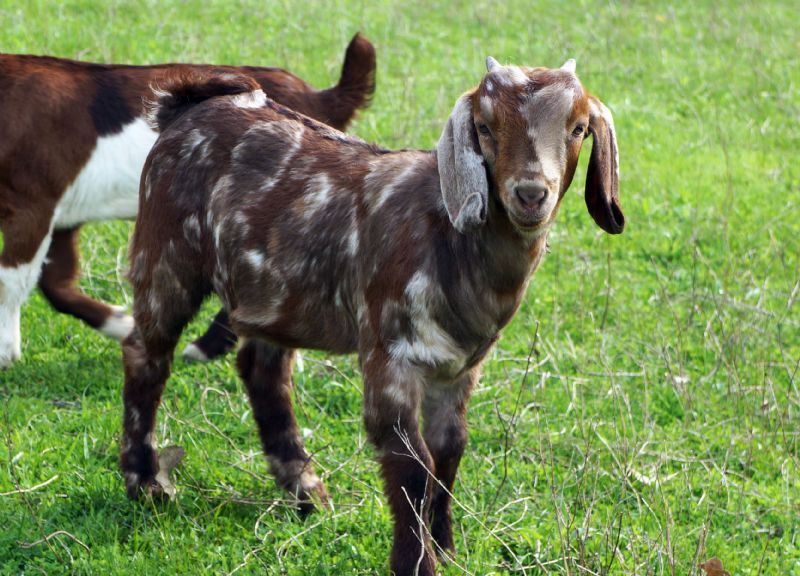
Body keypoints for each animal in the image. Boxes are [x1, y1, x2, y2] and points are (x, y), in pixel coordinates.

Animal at [0, 33, 375, 368]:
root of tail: (318, 98)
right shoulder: (61, 210)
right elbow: (55, 282)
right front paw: (120, 323)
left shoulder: (33, 204)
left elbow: (11, 278)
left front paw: (5, 353)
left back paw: (209, 347)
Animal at [121, 56, 624, 575]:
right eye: (484, 126)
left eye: (578, 128)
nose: (530, 193)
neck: (450, 238)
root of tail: (188, 107)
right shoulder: (390, 353)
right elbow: (412, 464)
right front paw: (415, 561)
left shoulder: (459, 368)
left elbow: (449, 449)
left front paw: (443, 543)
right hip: (166, 255)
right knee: (146, 354)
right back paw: (146, 482)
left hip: (275, 297)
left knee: (261, 372)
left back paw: (305, 490)